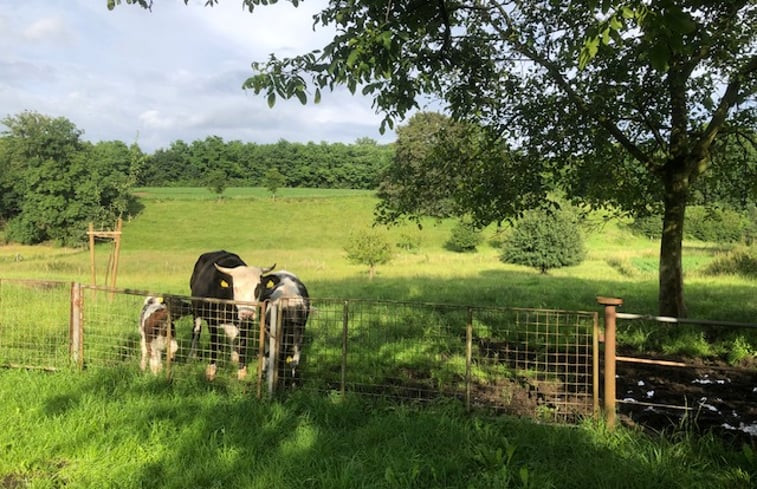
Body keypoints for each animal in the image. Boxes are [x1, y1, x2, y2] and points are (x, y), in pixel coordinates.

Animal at [189, 250, 274, 380]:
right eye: (235, 288)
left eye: (258, 288)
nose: (247, 313)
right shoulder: (212, 320)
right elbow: (214, 342)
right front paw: (211, 369)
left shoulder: (246, 323)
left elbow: (243, 343)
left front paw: (241, 370)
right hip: (196, 310)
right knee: (196, 330)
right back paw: (192, 355)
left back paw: (234, 356)